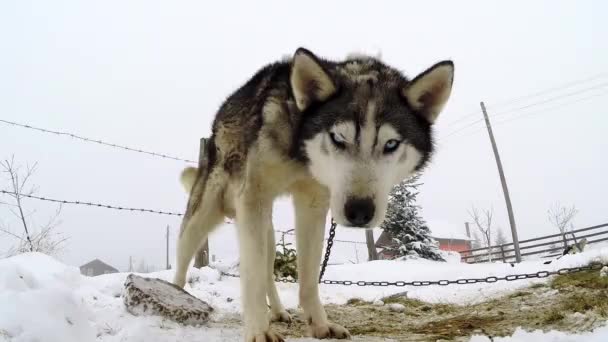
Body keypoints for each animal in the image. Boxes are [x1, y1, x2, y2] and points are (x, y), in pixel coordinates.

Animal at [173, 48, 454, 342]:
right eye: (338, 138)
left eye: (391, 144)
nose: (359, 212)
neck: (300, 151)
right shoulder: (253, 197)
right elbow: (251, 277)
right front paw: (258, 331)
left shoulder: (314, 204)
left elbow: (308, 277)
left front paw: (320, 325)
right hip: (205, 217)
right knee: (183, 263)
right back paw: (175, 297)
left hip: (266, 233)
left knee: (267, 271)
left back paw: (277, 312)